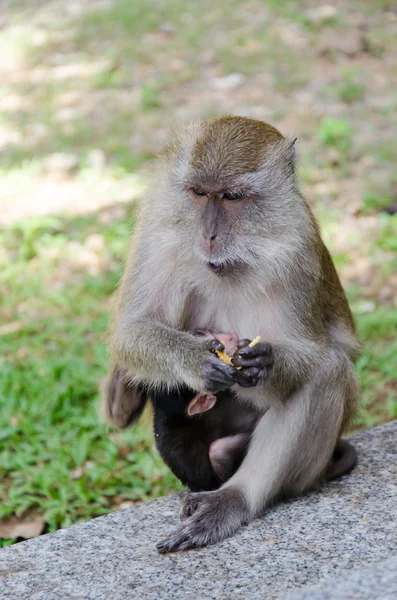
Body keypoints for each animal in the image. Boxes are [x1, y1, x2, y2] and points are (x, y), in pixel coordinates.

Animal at [108, 117, 358, 552]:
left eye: (231, 196)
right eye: (198, 193)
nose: (208, 234)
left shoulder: (298, 247)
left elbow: (313, 354)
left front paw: (267, 364)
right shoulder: (158, 226)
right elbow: (131, 330)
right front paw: (194, 359)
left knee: (328, 370)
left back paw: (234, 499)